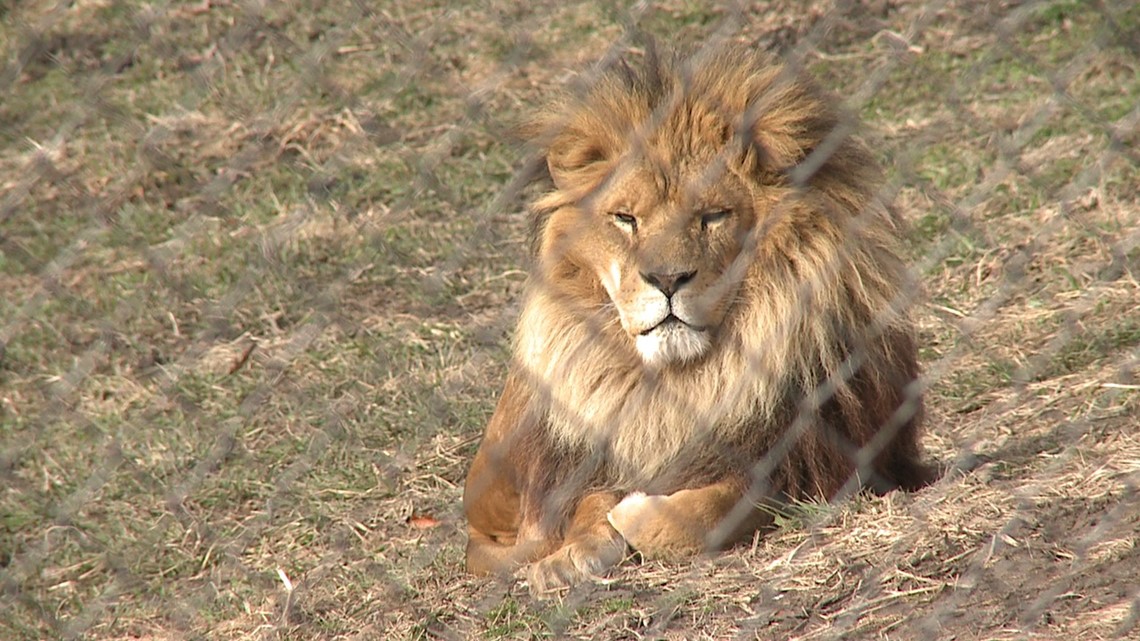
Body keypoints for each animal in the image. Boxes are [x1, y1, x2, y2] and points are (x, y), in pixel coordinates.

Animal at [463, 42, 935, 594]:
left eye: (712, 216)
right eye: (625, 218)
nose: (667, 279)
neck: (679, 382)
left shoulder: (814, 466)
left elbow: (714, 509)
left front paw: (635, 514)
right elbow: (586, 503)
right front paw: (569, 555)